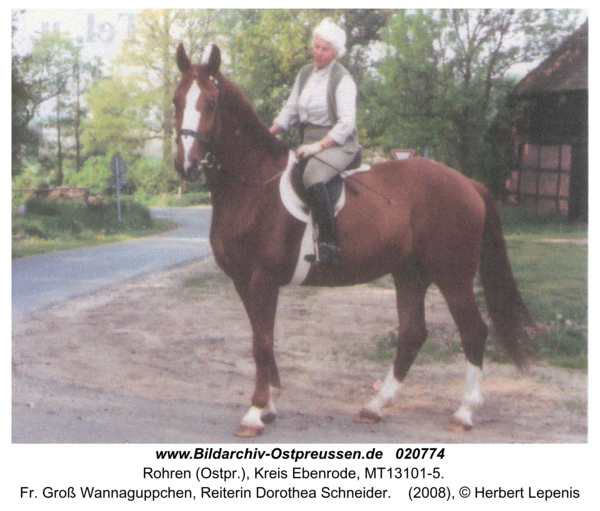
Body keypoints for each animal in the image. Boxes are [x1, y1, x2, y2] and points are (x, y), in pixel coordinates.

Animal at [171, 42, 532, 438]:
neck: (253, 187)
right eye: (176, 100)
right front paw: (269, 406)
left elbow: (261, 342)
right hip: (410, 274)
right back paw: (375, 406)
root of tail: (467, 183)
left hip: (452, 276)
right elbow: (263, 339)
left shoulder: (262, 280)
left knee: (473, 331)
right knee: (412, 333)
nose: (185, 166)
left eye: (211, 103)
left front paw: (254, 412)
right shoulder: (242, 281)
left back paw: (463, 412)